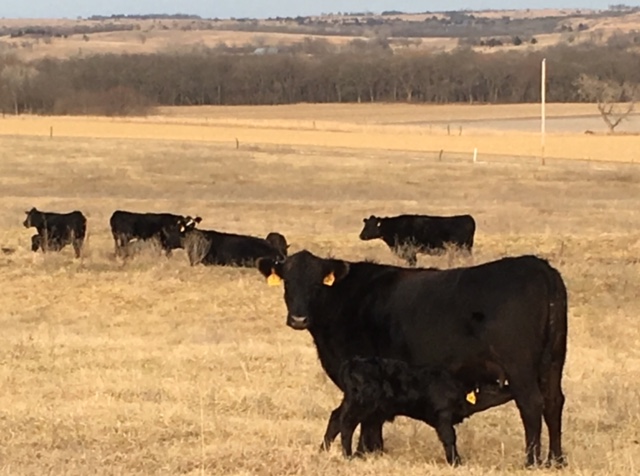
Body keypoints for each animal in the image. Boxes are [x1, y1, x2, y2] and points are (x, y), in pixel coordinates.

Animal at [324, 356, 510, 464]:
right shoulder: (442, 416)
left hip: (355, 404)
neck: (455, 384)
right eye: (492, 386)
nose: (509, 389)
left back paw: (324, 449)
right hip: (360, 405)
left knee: (335, 418)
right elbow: (449, 438)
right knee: (346, 424)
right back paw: (347, 455)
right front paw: (455, 462)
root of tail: (353, 363)